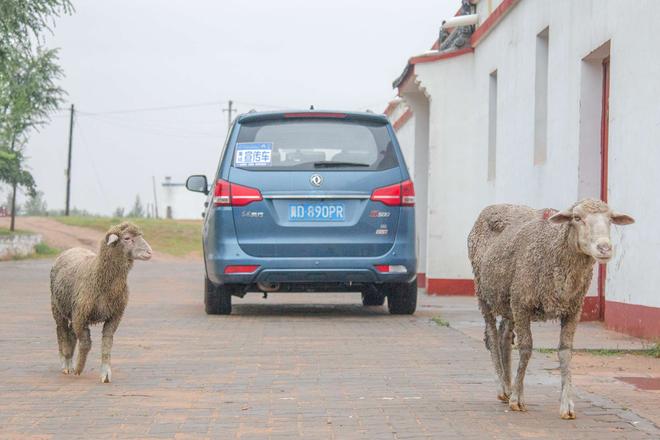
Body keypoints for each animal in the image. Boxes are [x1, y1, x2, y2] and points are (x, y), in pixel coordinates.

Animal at [49, 222, 152, 384]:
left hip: (73, 312)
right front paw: (78, 368)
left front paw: (105, 374)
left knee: (71, 333)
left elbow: (107, 344)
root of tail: (72, 249)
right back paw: (66, 364)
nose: (149, 252)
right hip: (57, 308)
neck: (98, 274)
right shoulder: (81, 316)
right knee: (62, 332)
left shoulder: (114, 316)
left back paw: (69, 361)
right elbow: (86, 343)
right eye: (127, 238)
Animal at [466, 199, 636, 420]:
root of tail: (495, 206)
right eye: (577, 218)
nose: (605, 248)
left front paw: (567, 405)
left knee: (504, 336)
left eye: (610, 219)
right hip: (484, 293)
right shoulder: (522, 304)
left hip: (509, 298)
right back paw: (503, 388)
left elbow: (565, 352)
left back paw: (509, 385)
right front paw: (517, 400)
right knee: (492, 337)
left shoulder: (573, 310)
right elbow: (526, 349)